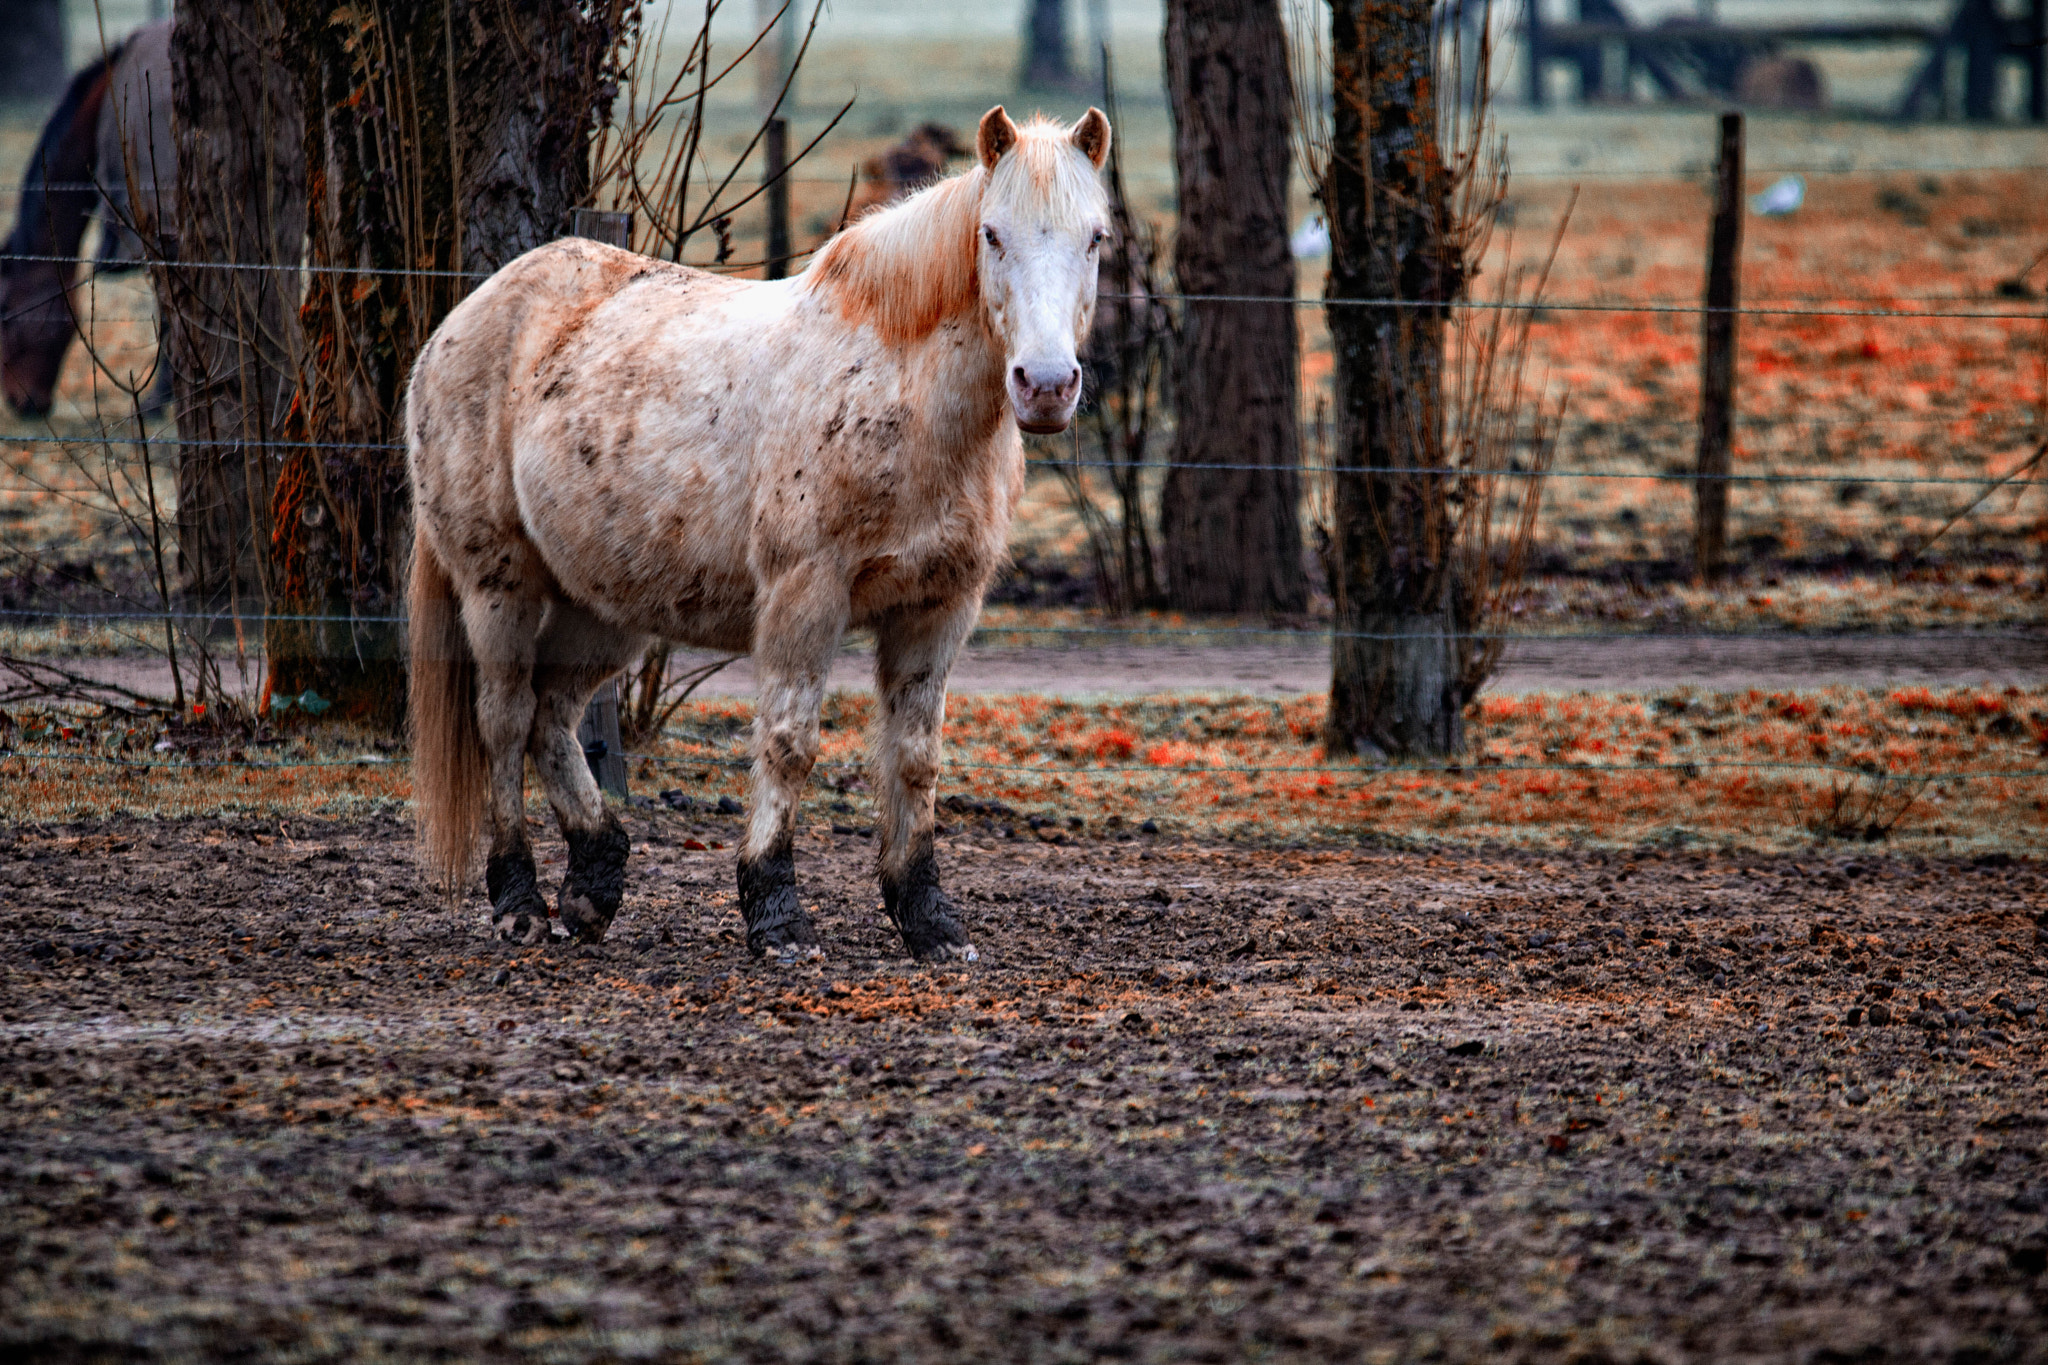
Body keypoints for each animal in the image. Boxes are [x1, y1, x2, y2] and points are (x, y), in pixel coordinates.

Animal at [406, 106, 1112, 961]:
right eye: (992, 234)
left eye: (1097, 237)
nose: (1045, 385)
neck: (904, 398)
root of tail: (462, 321)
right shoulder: (806, 596)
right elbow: (788, 741)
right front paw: (776, 915)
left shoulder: (941, 608)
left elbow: (915, 758)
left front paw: (931, 921)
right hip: (498, 586)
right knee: (505, 721)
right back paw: (519, 902)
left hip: (604, 606)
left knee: (552, 716)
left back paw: (593, 886)